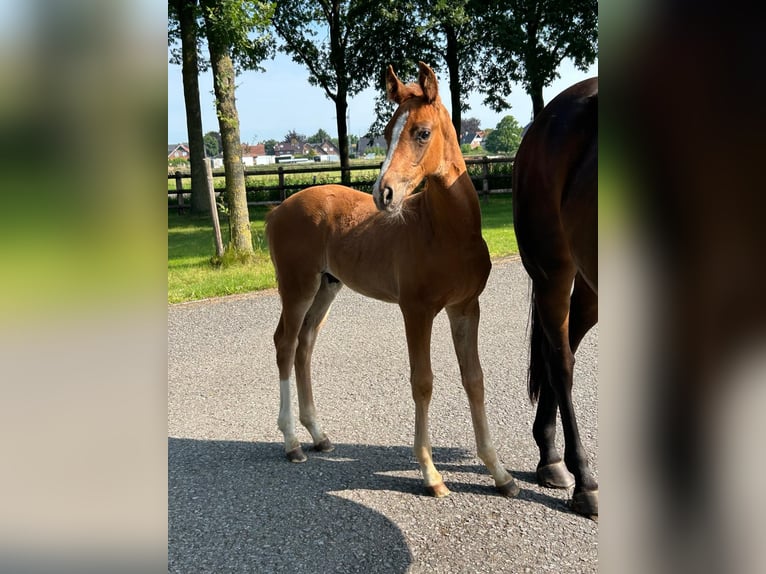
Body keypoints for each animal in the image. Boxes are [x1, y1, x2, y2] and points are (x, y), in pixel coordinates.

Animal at [266, 63, 520, 502]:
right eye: (385, 132)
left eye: (422, 132)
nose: (382, 194)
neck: (446, 232)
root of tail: (278, 208)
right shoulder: (416, 310)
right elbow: (423, 382)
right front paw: (431, 475)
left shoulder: (465, 308)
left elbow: (474, 380)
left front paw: (500, 473)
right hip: (297, 287)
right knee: (285, 343)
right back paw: (292, 443)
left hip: (326, 287)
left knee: (305, 345)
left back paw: (318, 435)